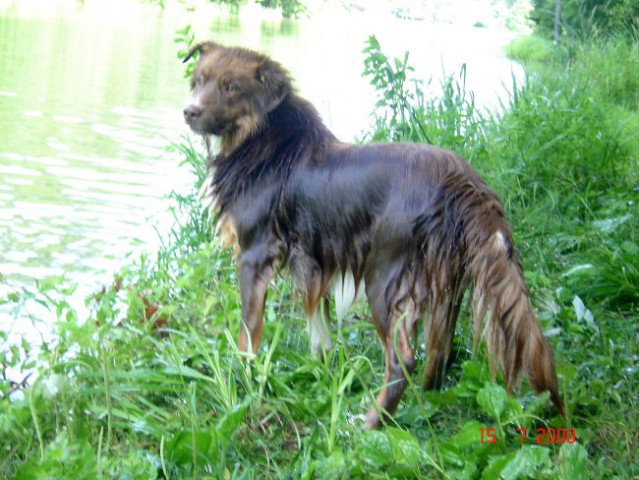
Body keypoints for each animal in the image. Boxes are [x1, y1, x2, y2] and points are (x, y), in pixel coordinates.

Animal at [182, 42, 564, 428]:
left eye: (231, 87)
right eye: (198, 81)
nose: (189, 111)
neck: (261, 139)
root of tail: (463, 182)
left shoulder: (255, 255)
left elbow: (248, 333)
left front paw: (243, 378)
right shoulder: (316, 261)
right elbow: (319, 328)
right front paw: (324, 374)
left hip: (384, 279)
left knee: (402, 360)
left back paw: (370, 423)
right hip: (448, 284)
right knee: (440, 351)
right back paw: (425, 404)